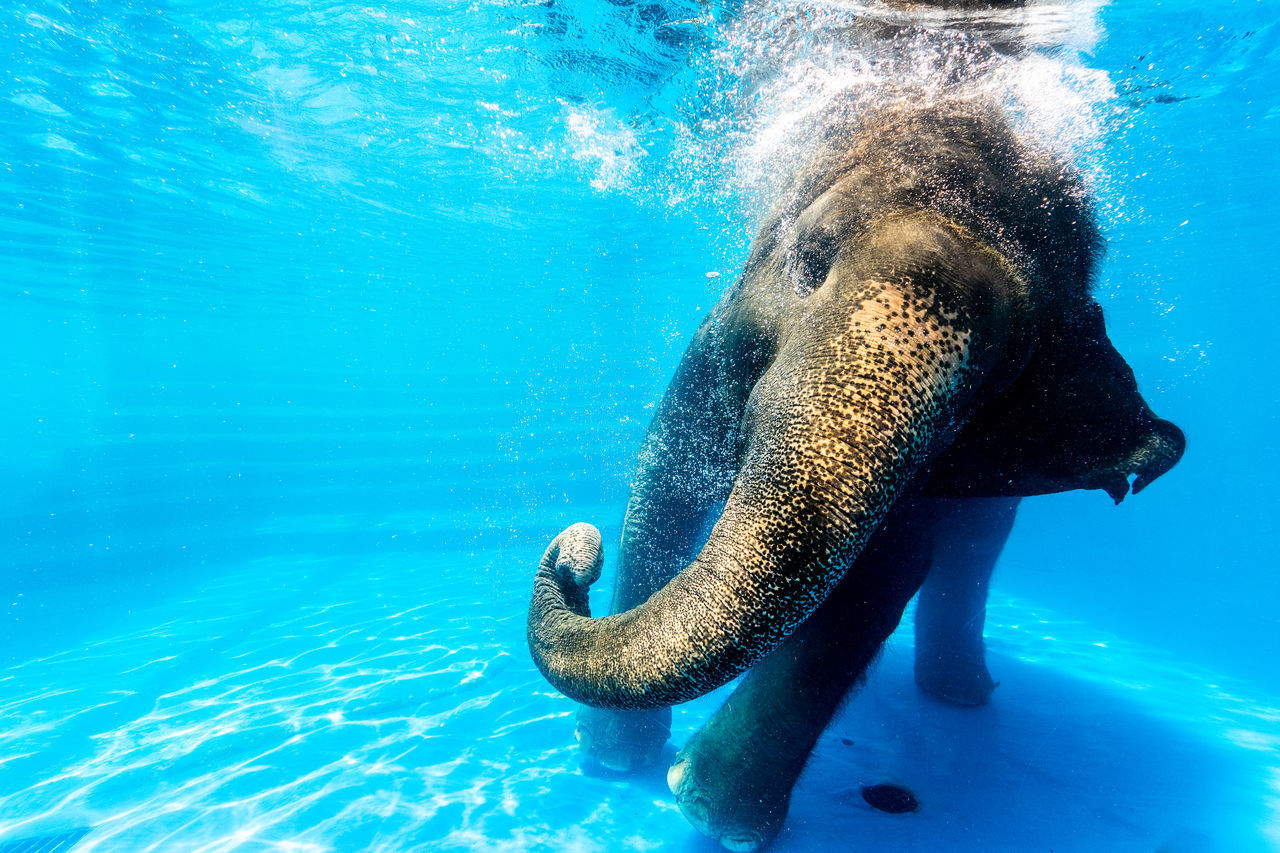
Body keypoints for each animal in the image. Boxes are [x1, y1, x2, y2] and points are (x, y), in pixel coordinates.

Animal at [524, 96, 1182, 845]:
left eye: (1002, 371)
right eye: (811, 259)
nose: (573, 555)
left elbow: (882, 576)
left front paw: (713, 811)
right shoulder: (711, 354)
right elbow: (662, 486)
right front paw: (615, 761)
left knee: (973, 550)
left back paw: (959, 695)